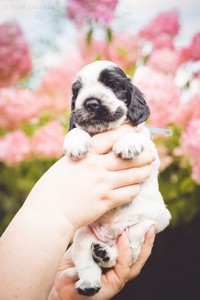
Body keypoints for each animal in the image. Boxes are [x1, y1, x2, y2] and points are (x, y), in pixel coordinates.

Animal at [63, 60, 171, 296]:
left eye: (112, 85)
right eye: (78, 91)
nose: (91, 103)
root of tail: (109, 237)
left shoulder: (151, 153)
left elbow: (138, 134)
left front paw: (127, 142)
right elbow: (76, 130)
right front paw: (75, 141)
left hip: (144, 226)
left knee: (124, 254)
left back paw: (107, 254)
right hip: (82, 239)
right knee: (88, 264)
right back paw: (90, 280)